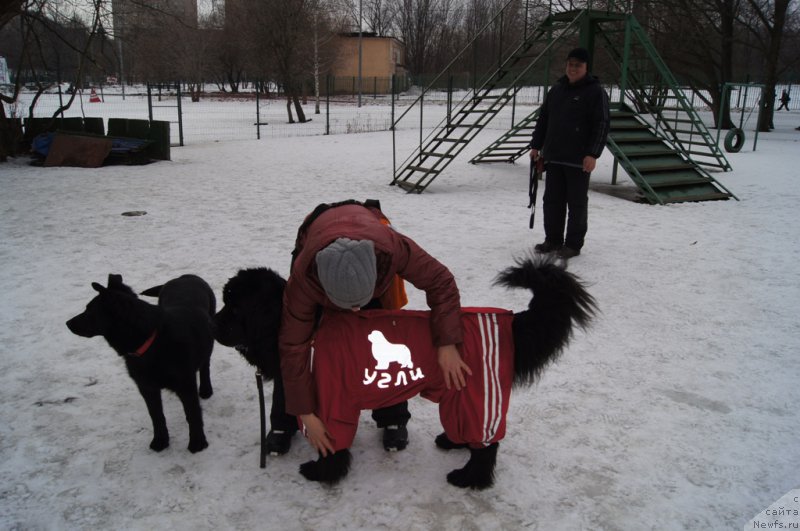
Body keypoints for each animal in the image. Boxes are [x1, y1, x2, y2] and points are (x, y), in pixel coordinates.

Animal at [67, 274, 217, 454]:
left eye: (90, 310)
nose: (67, 323)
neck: (151, 341)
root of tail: (186, 276)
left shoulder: (185, 385)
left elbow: (192, 414)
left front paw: (197, 442)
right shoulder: (146, 387)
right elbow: (156, 416)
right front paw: (160, 441)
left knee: (205, 365)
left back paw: (206, 389)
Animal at [216, 256, 596, 488]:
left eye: (234, 306)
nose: (213, 324)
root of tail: (509, 321)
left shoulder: (332, 404)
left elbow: (332, 444)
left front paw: (321, 472)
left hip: (477, 396)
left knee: (488, 447)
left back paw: (469, 478)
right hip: (457, 395)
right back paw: (453, 443)